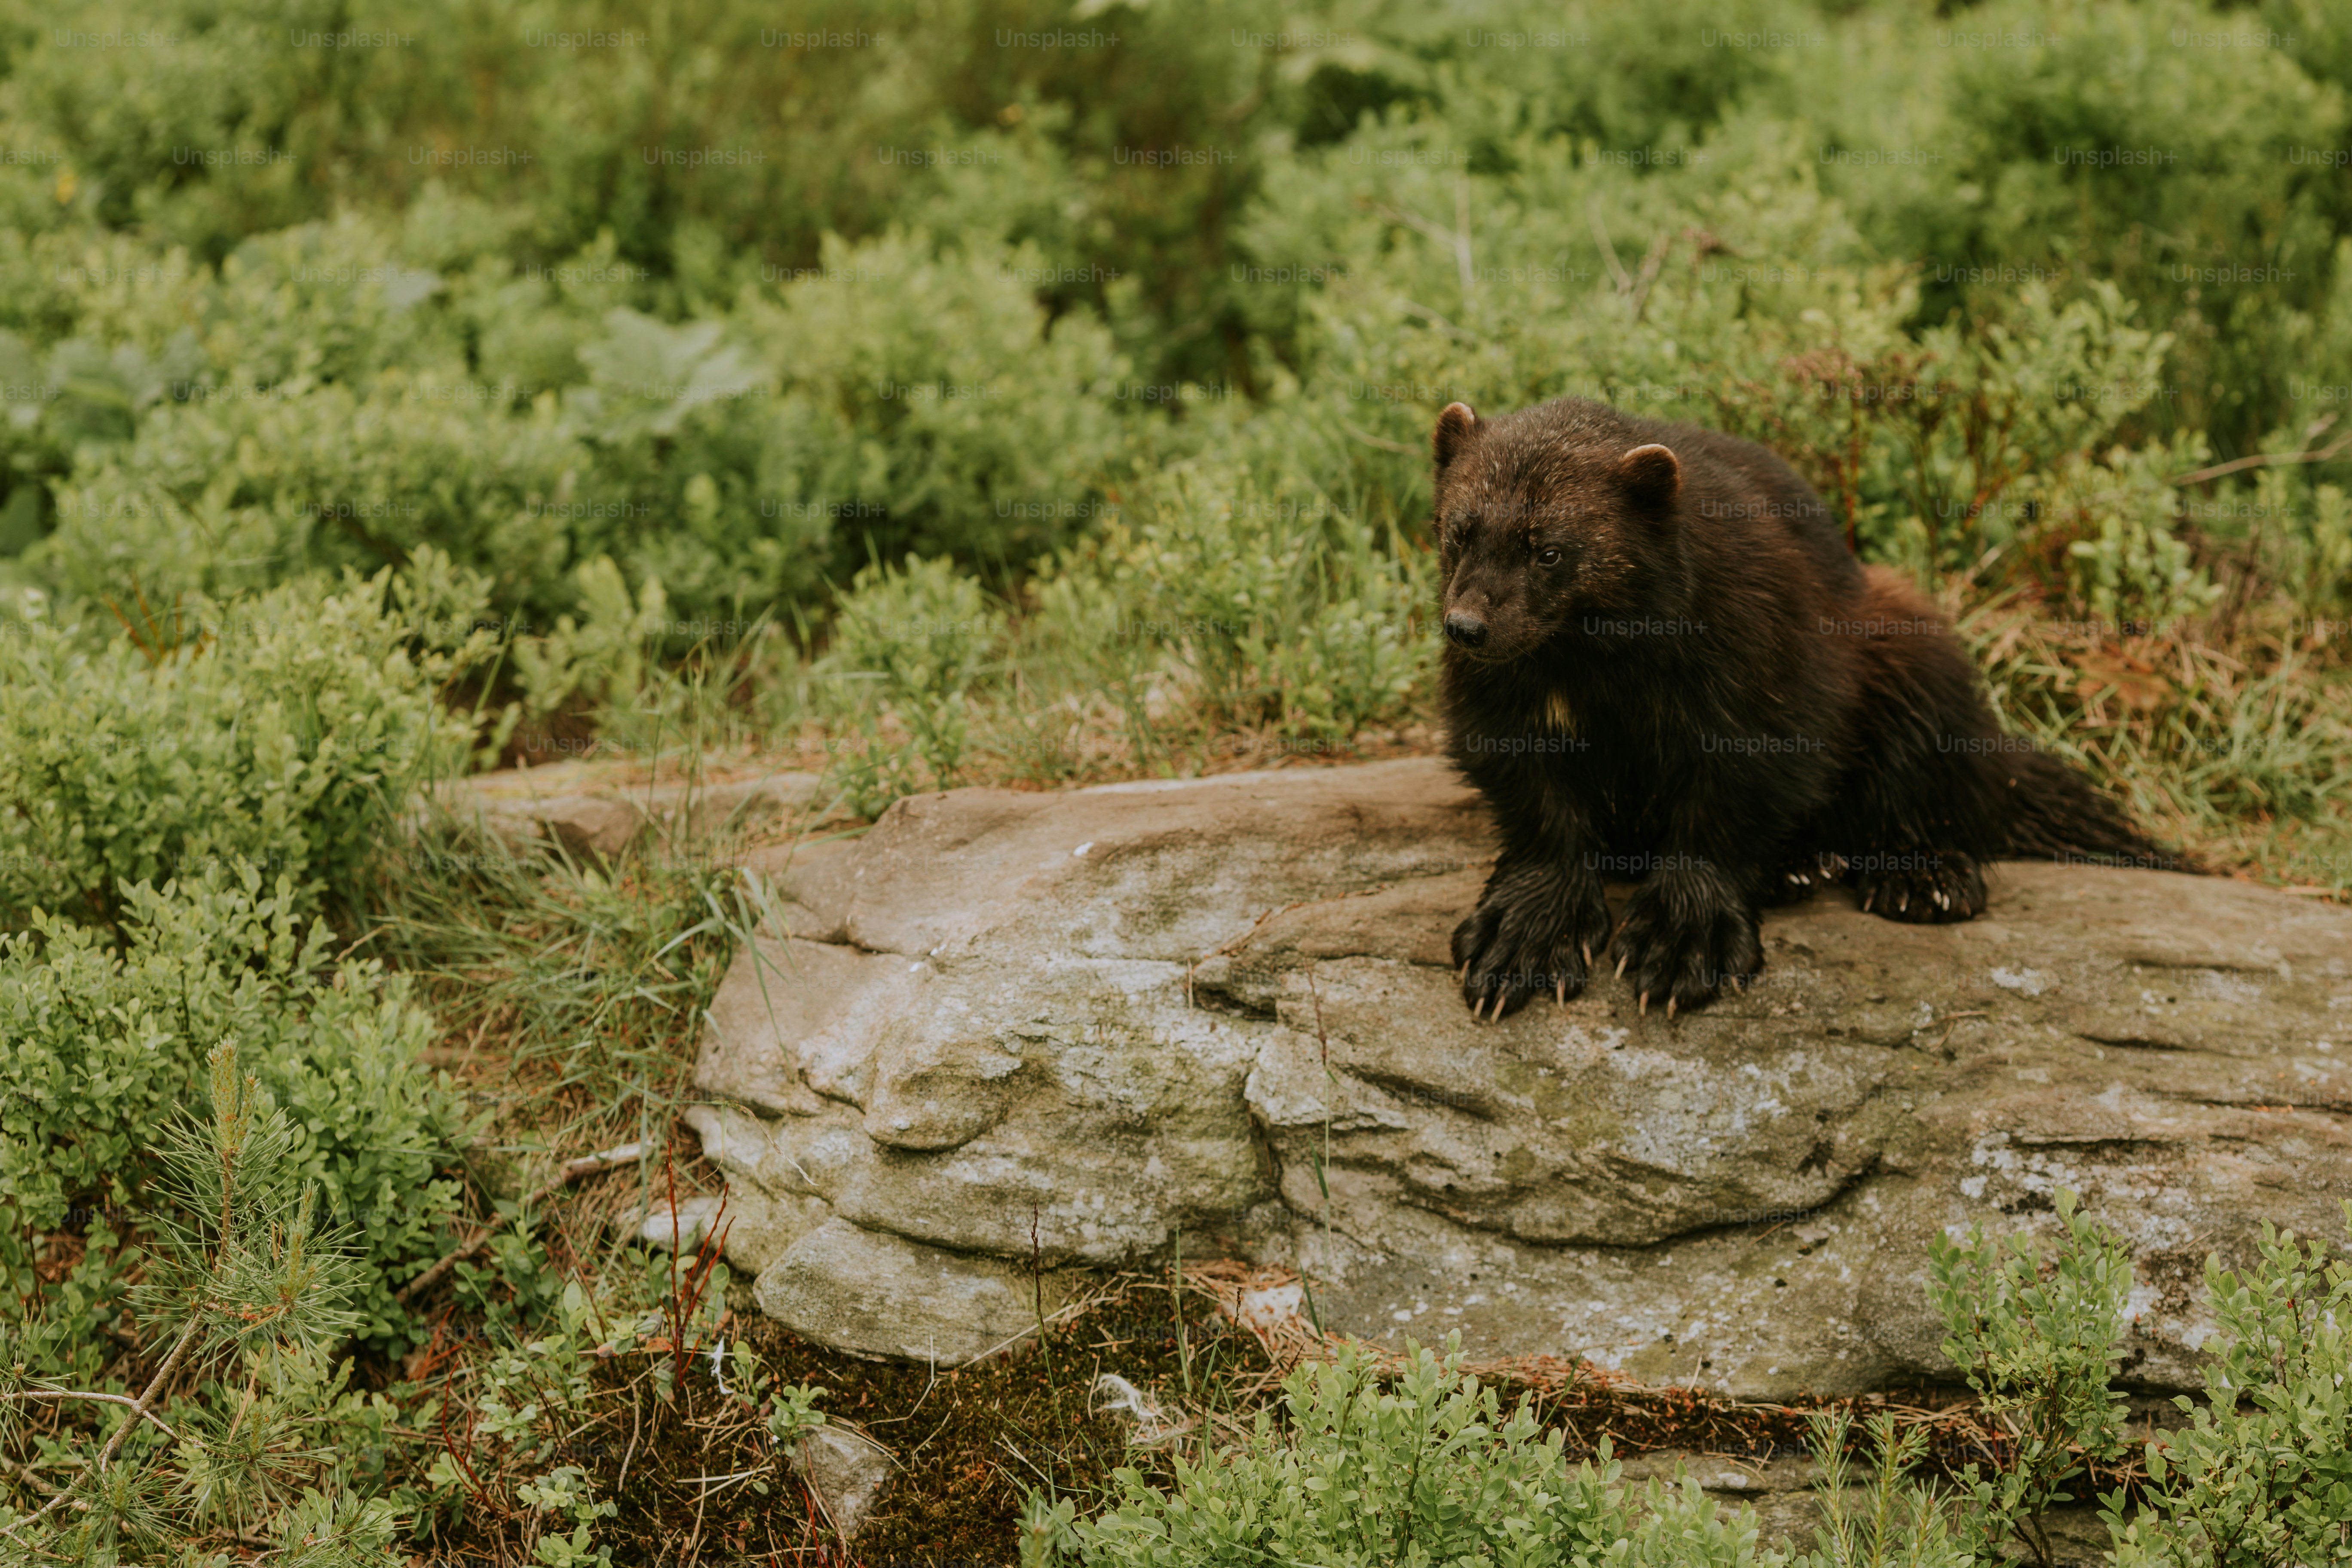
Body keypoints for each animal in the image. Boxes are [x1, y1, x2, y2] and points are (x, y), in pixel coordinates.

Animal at [1431, 396, 2169, 1019]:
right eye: (1459, 530)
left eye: (1550, 549)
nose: (1467, 626)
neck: (1596, 666)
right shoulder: (1500, 699)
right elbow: (1539, 806)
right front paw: (1523, 935)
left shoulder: (1762, 667)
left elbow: (1728, 804)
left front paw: (1684, 939)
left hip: (1907, 648)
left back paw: (1919, 873)